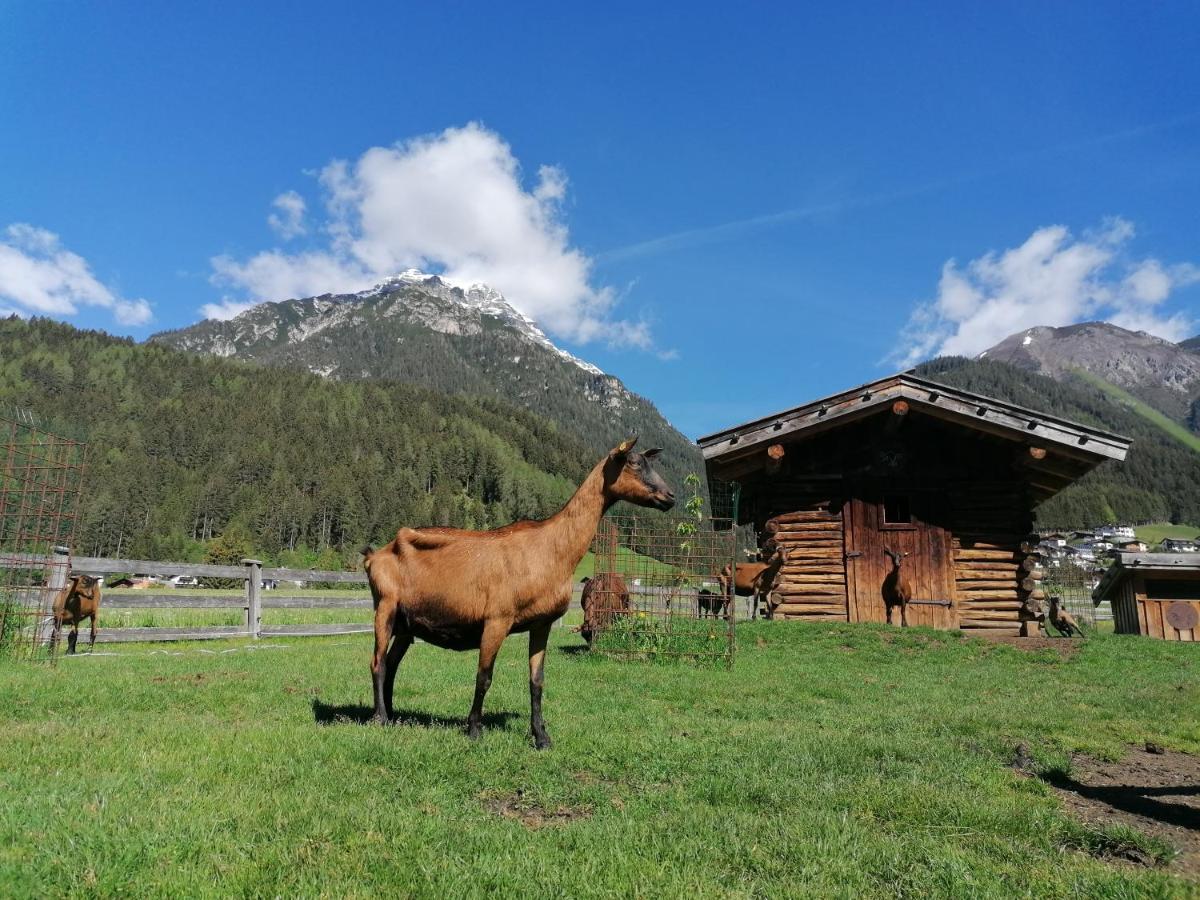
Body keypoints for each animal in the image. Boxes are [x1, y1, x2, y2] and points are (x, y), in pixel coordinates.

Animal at [355, 436, 676, 748]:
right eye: (633, 463)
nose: (670, 496)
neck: (550, 548)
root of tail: (375, 556)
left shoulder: (541, 623)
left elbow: (537, 681)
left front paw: (542, 737)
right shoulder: (497, 619)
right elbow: (484, 676)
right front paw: (474, 730)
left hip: (407, 622)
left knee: (392, 663)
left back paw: (393, 714)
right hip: (385, 605)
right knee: (377, 663)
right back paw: (380, 718)